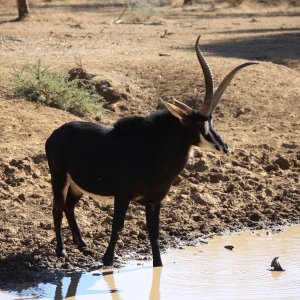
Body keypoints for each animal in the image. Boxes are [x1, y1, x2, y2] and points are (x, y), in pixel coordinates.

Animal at [45, 35, 258, 268]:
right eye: (197, 125)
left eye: (210, 121)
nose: (224, 146)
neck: (153, 154)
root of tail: (56, 134)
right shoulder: (123, 196)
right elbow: (117, 226)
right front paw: (107, 260)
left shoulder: (155, 201)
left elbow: (154, 231)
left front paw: (159, 264)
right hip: (59, 177)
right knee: (58, 209)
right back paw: (61, 251)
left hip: (77, 185)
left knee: (69, 207)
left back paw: (81, 243)